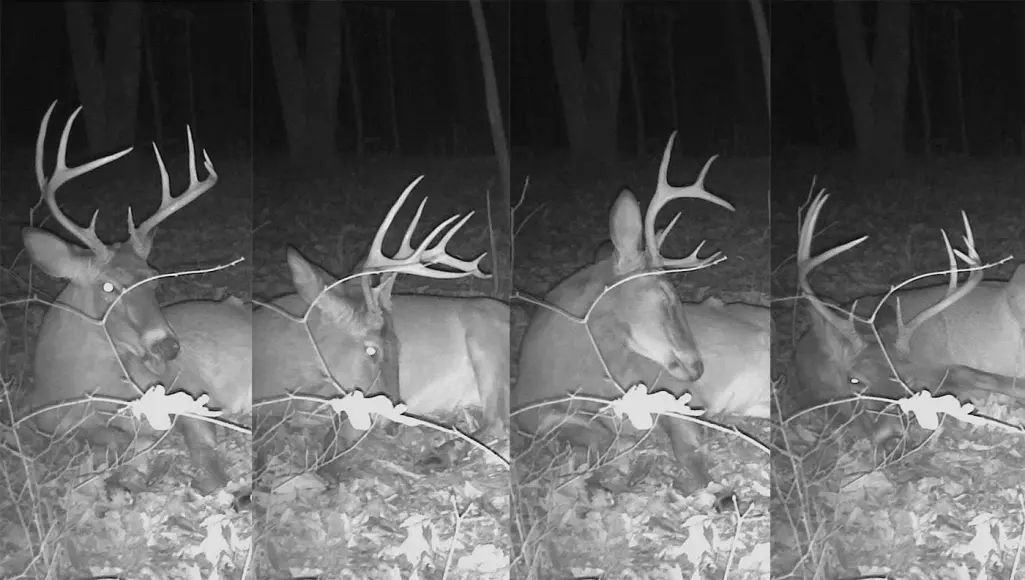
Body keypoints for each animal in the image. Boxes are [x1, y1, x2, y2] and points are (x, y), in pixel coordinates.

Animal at [23, 102, 251, 493]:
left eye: (154, 282)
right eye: (108, 287)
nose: (168, 347)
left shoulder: (185, 385)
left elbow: (195, 441)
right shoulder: (51, 422)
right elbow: (116, 437)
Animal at [253, 178, 508, 485]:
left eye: (399, 345)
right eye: (372, 349)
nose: (393, 422)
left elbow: (331, 445)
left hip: (486, 341)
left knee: (496, 421)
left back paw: (438, 455)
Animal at [512, 133, 770, 504]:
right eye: (665, 295)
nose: (698, 367)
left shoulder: (672, 390)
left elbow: (685, 448)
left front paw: (717, 491)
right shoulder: (530, 409)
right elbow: (599, 436)